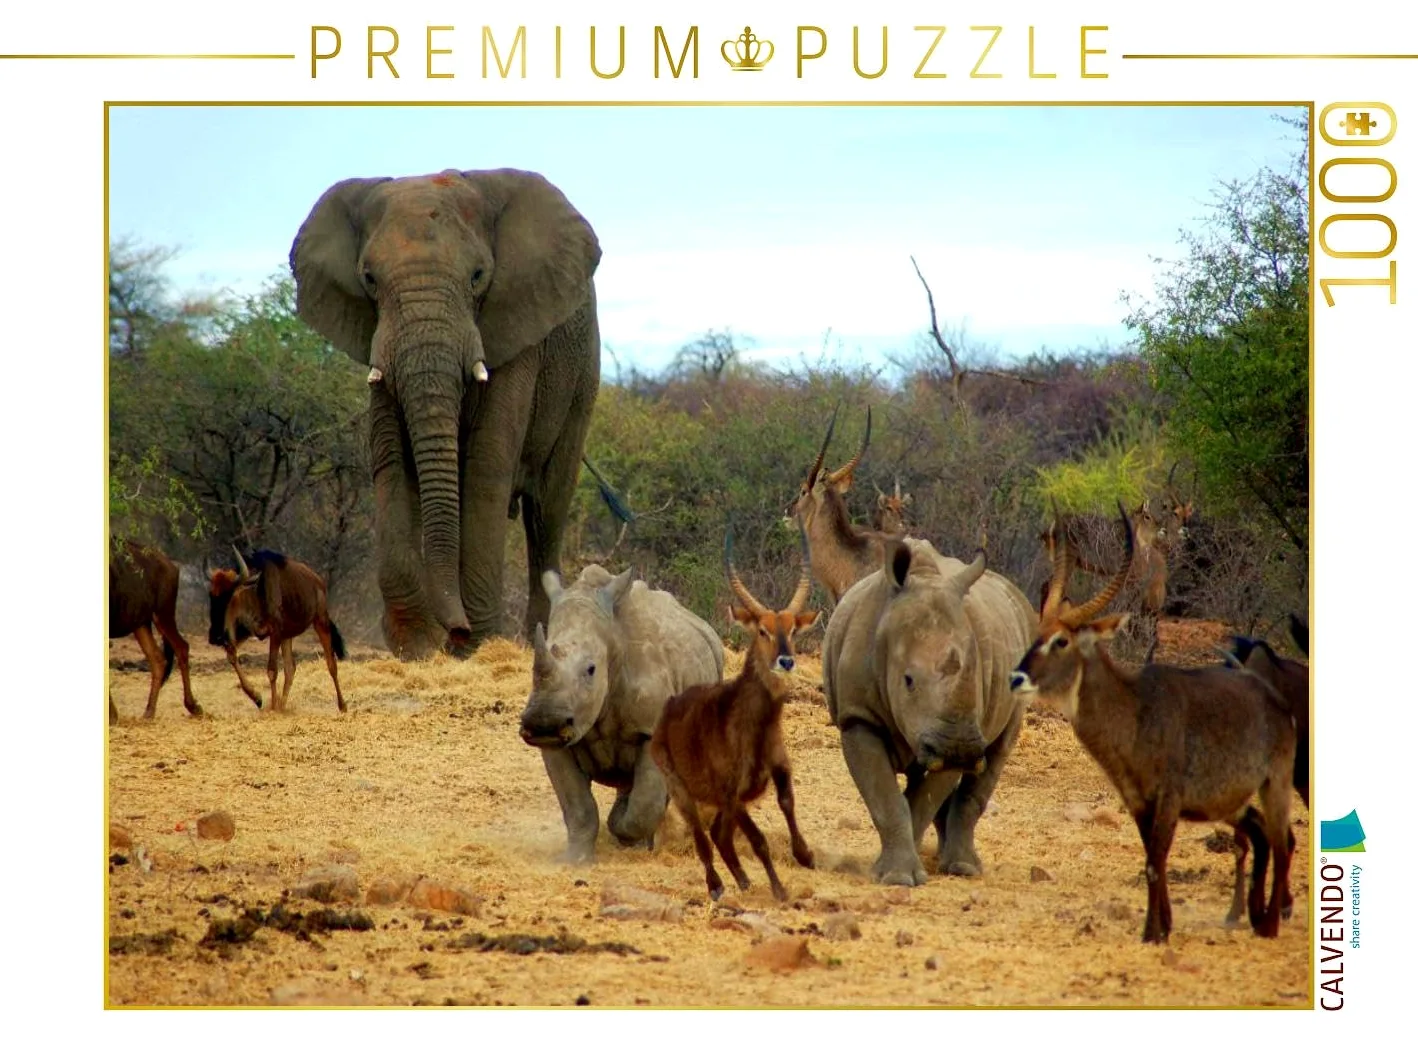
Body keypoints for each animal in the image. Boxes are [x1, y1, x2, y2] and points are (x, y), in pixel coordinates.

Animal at [290, 168, 602, 659]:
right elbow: (393, 460)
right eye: (369, 279)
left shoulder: (514, 328)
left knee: (546, 510)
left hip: (581, 377)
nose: (453, 630)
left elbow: (487, 464)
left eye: (478, 276)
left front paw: (474, 644)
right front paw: (417, 644)